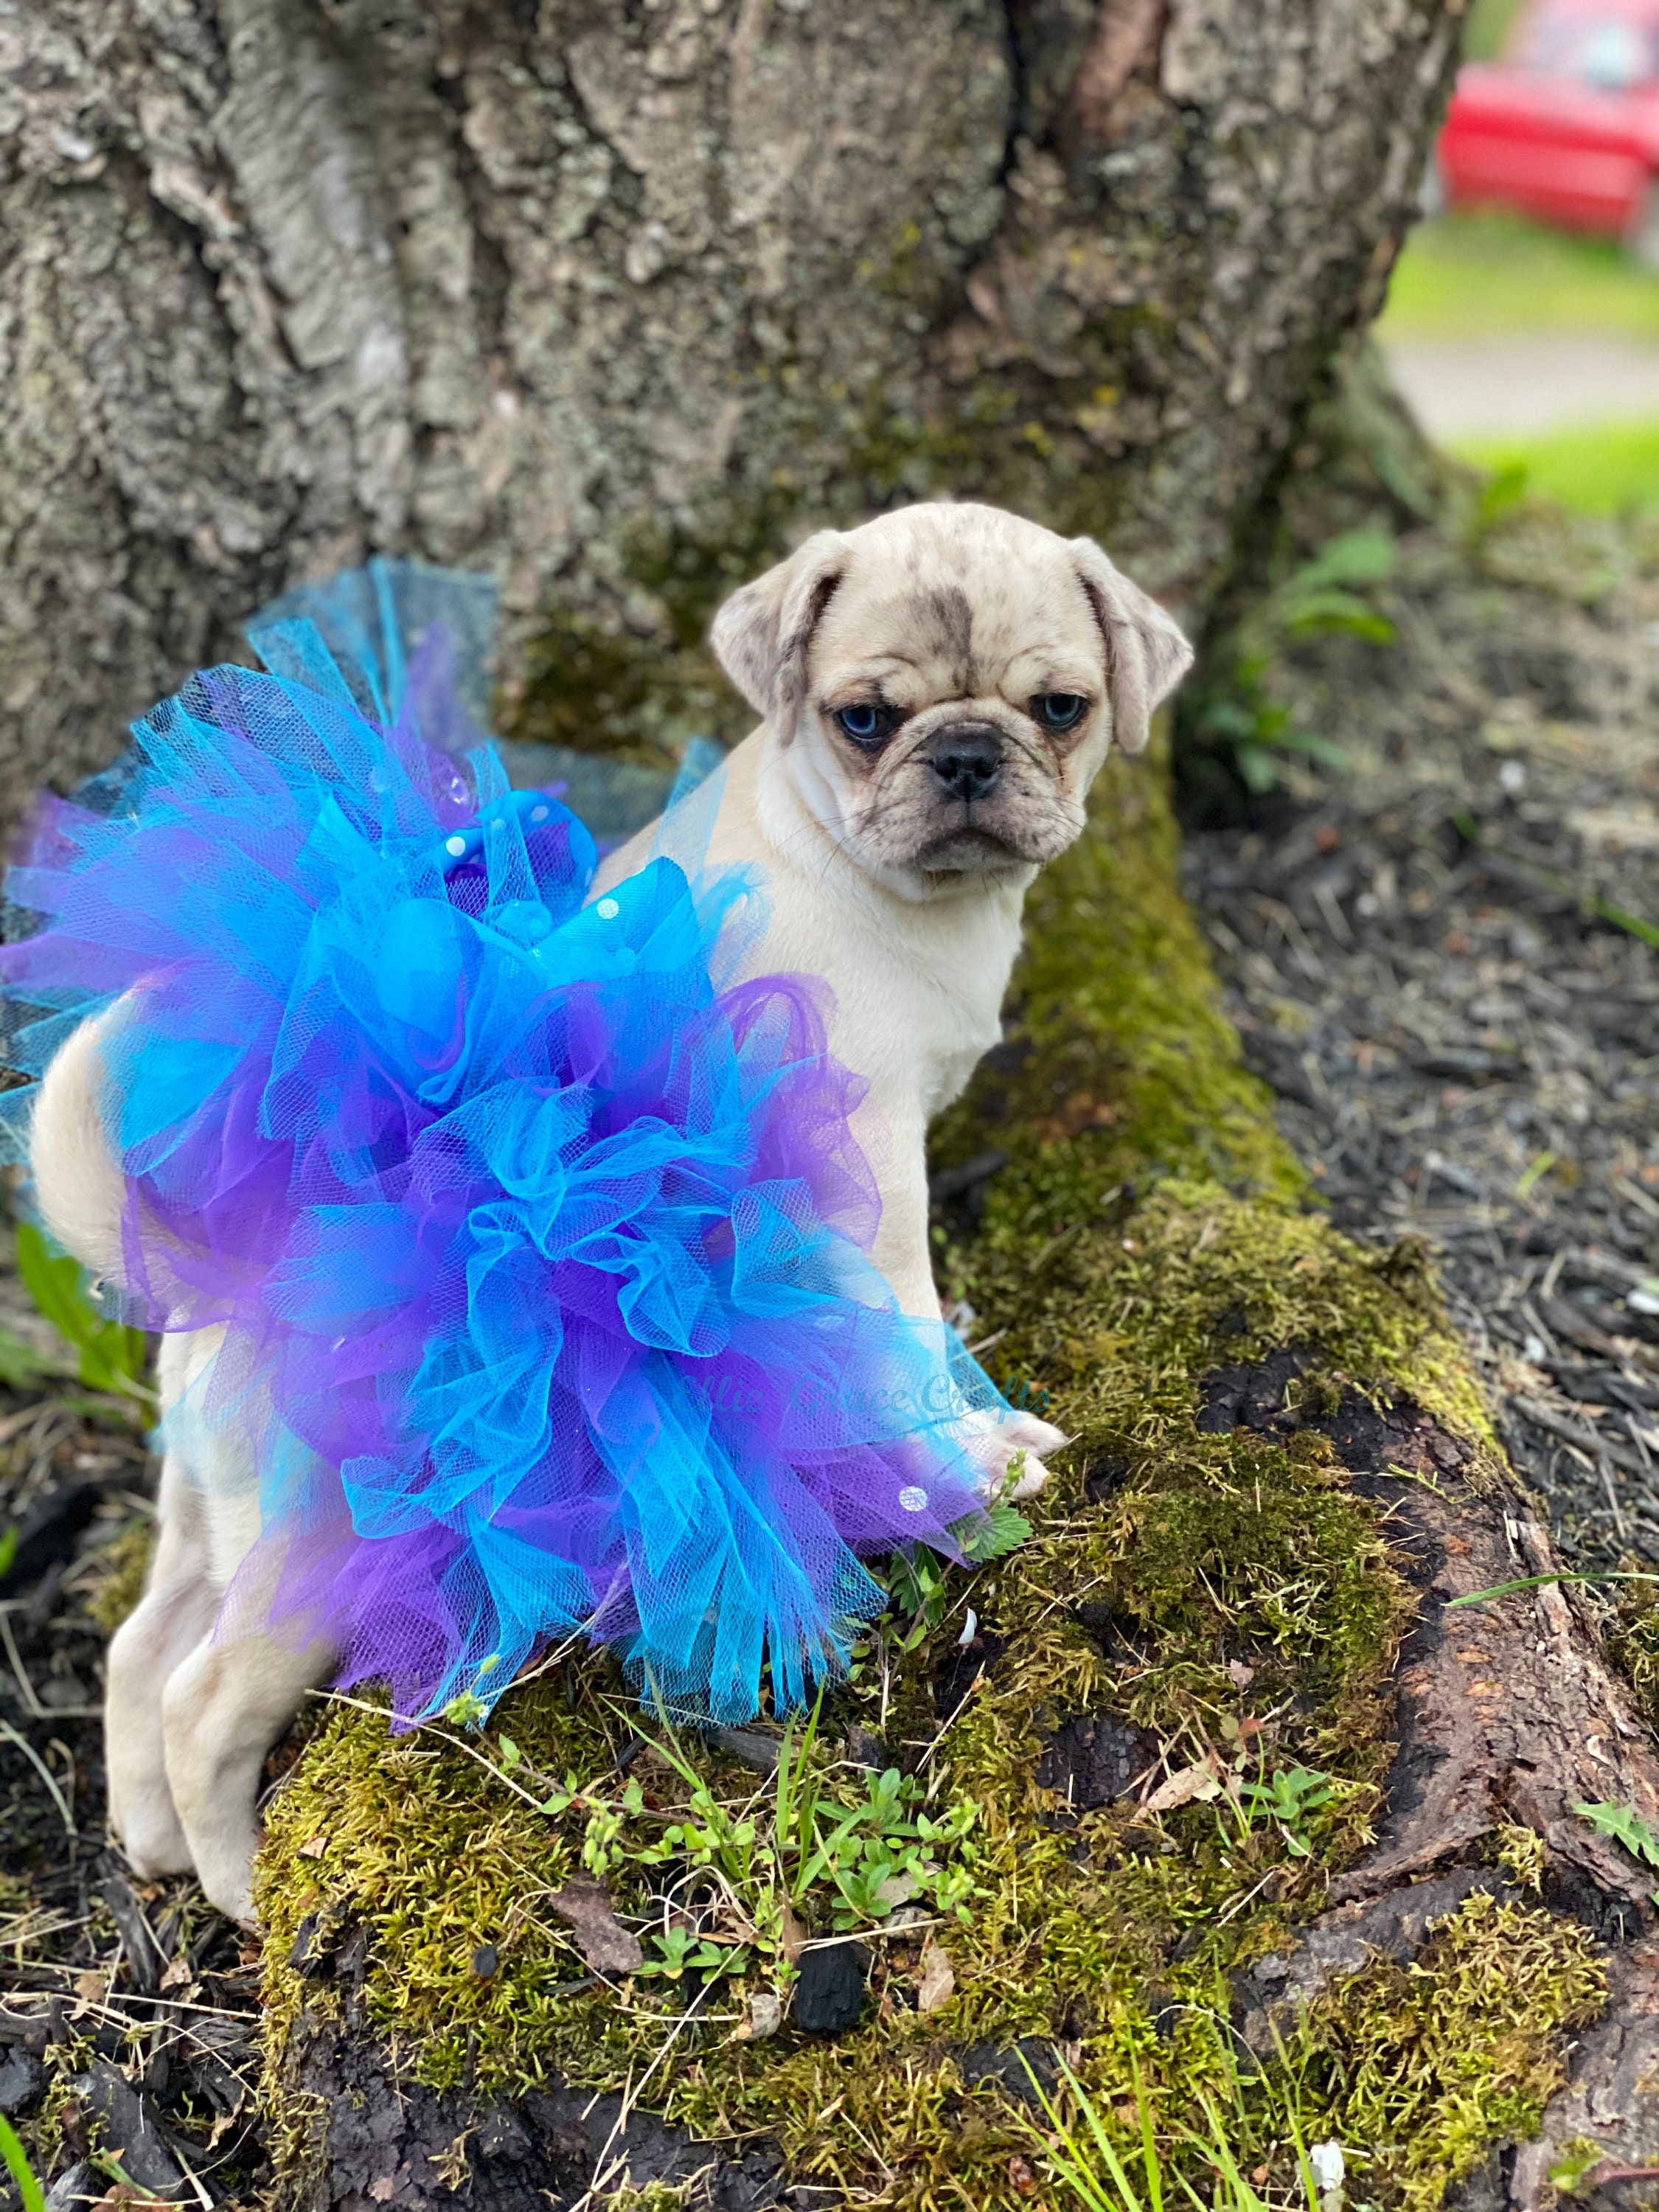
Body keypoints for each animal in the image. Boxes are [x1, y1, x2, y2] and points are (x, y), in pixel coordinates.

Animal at [26, 502, 1194, 1920]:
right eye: (865, 719)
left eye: (1061, 708)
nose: (969, 755)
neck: (867, 876)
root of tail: (219, 1283)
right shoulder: (862, 1172)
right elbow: (903, 1325)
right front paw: (963, 1458)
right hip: (313, 1546)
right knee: (202, 1703)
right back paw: (246, 1891)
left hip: (212, 1514)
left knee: (140, 1656)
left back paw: (147, 1845)